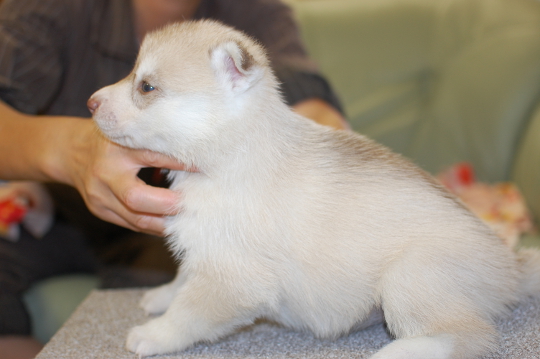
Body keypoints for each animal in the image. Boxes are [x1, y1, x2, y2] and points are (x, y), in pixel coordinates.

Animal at [89, 20, 540, 359]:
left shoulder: (234, 277)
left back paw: (397, 352)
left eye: (146, 87)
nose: (91, 102)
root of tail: (511, 266)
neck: (233, 152)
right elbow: (184, 278)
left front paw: (154, 334)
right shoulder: (207, 245)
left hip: (411, 277)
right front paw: (161, 295)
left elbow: (190, 312)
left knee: (470, 335)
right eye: (132, 74)